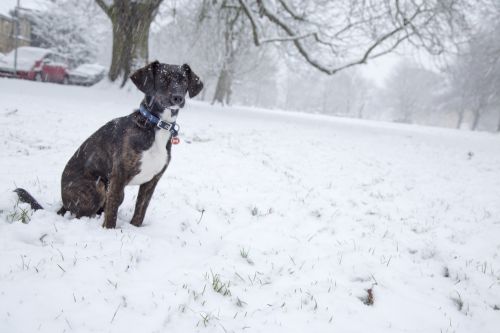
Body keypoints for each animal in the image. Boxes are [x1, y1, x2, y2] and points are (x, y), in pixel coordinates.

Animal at [15, 61, 203, 228]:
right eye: (163, 79)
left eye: (183, 80)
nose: (177, 97)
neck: (155, 125)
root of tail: (64, 203)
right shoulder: (118, 176)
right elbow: (112, 211)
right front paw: (110, 231)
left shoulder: (152, 181)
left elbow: (140, 211)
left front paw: (135, 229)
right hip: (97, 187)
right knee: (79, 214)